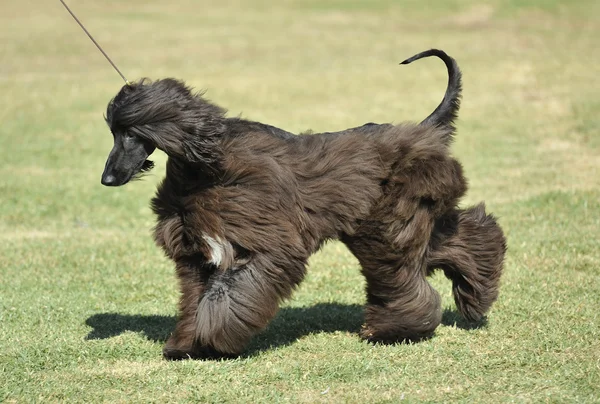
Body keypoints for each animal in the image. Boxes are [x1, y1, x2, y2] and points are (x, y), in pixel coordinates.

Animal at [101, 49, 504, 358]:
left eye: (130, 133)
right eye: (113, 132)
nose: (107, 179)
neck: (204, 169)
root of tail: (424, 130)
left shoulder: (265, 246)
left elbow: (227, 297)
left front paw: (212, 341)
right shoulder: (195, 255)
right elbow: (195, 298)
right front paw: (186, 345)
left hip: (389, 225)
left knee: (404, 271)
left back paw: (392, 329)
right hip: (393, 223)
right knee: (463, 239)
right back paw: (473, 299)